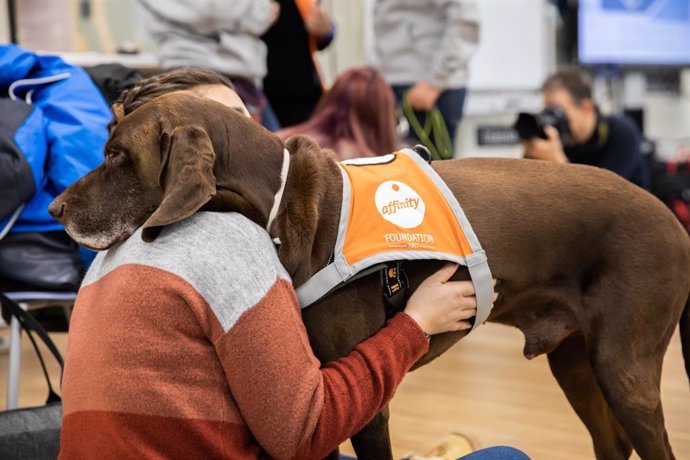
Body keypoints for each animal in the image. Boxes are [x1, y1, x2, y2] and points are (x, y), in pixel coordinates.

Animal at [49, 90, 688, 460]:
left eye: (115, 156)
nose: (53, 208)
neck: (280, 206)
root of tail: (671, 216)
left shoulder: (364, 401)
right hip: (576, 363)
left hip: (621, 369)